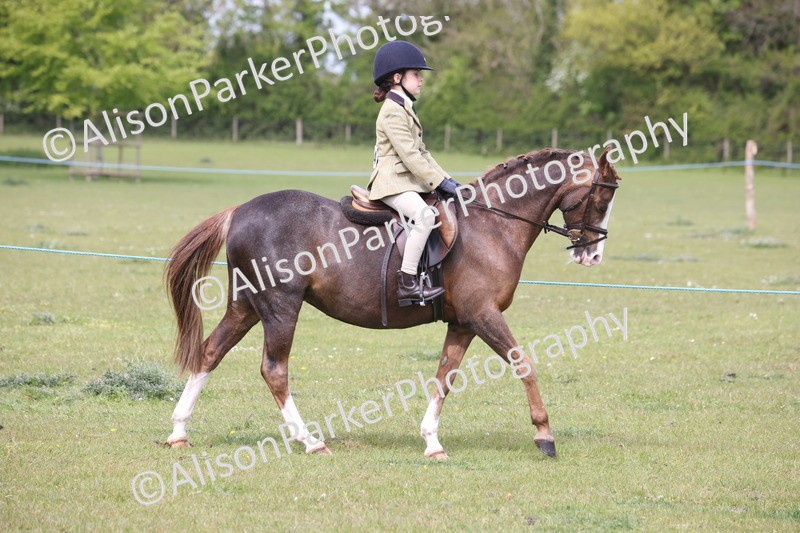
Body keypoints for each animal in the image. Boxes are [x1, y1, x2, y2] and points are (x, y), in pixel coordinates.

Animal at [164, 147, 621, 459]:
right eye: (601, 199)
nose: (594, 255)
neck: (493, 223)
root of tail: (239, 210)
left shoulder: (463, 323)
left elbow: (444, 376)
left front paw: (432, 442)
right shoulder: (483, 314)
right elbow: (524, 364)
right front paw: (544, 435)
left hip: (245, 306)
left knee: (210, 352)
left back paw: (179, 431)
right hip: (280, 307)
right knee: (274, 370)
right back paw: (310, 441)